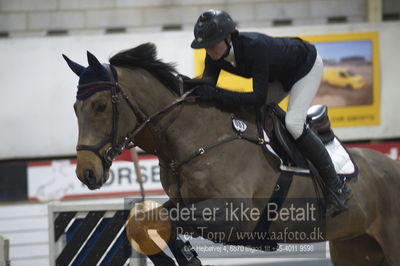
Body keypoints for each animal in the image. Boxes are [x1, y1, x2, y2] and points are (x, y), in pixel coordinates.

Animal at [62, 42, 400, 264]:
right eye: (75, 108)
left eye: (100, 106)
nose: (86, 172)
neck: (193, 135)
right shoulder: (185, 202)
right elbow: (146, 221)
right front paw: (185, 255)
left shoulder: (233, 214)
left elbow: (164, 220)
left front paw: (187, 256)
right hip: (354, 246)